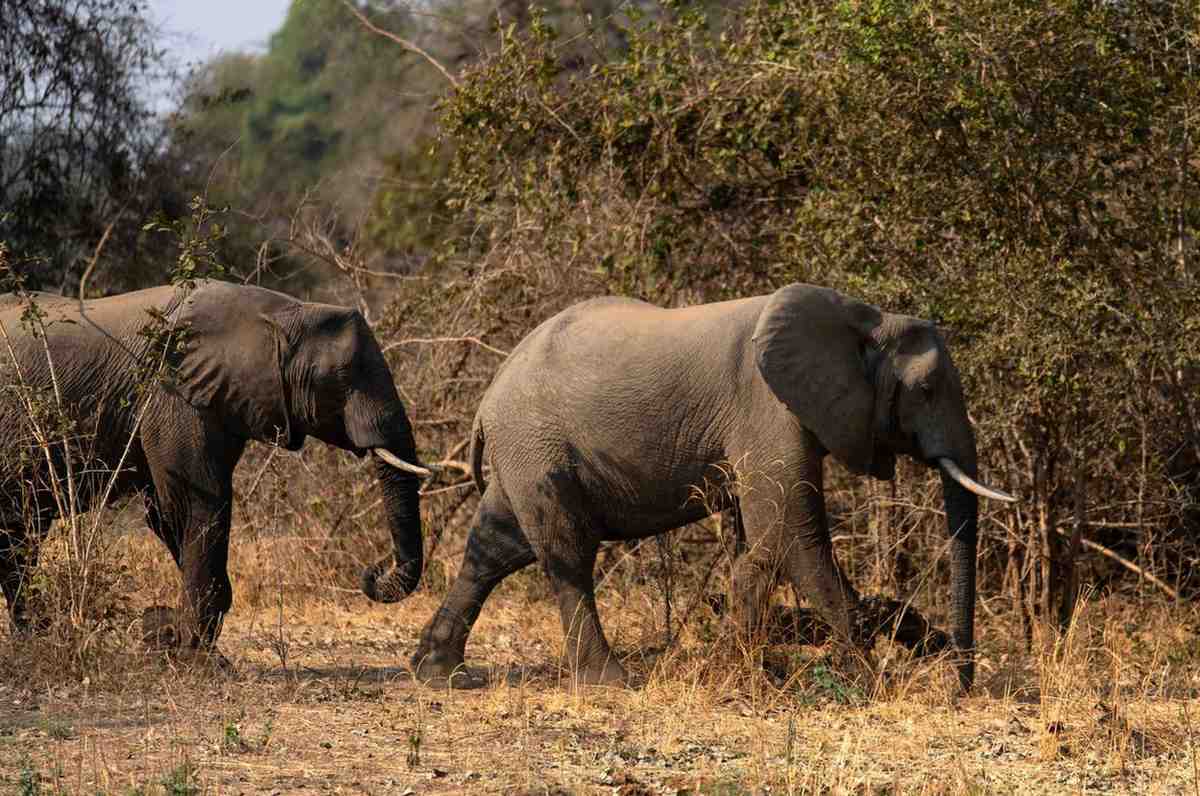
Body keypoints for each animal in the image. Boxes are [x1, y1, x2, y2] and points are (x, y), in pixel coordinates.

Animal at [0, 279, 429, 657]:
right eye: (340, 379)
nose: (373, 571)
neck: (281, 314)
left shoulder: (221, 399)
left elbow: (167, 515)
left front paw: (182, 640)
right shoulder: (172, 395)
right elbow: (195, 505)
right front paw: (198, 656)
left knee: (19, 535)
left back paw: (37, 636)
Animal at [411, 283, 1013, 690]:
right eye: (927, 389)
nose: (962, 684)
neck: (863, 318)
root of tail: (488, 397)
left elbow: (764, 543)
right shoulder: (767, 408)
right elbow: (794, 536)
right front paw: (868, 682)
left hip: (524, 451)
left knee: (494, 545)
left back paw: (436, 672)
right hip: (537, 445)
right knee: (566, 553)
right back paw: (610, 682)